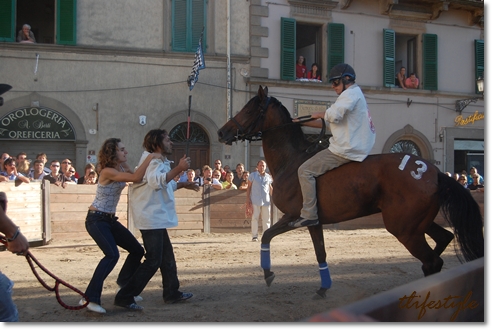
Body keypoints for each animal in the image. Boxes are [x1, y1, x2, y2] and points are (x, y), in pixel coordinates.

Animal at [219, 86, 484, 298]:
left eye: (249, 110)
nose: (222, 132)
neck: (292, 161)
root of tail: (433, 172)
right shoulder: (314, 222)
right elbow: (320, 253)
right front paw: (323, 287)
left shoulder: (295, 217)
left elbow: (267, 236)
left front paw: (268, 273)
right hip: (417, 224)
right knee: (443, 240)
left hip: (405, 230)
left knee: (431, 261)